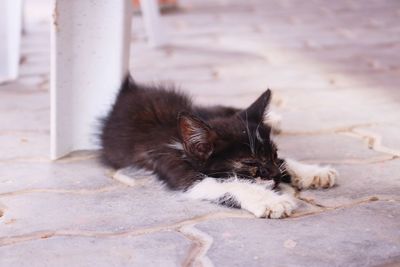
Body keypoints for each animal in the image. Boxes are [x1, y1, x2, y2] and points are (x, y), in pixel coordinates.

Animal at [101, 76, 338, 220]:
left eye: (274, 154)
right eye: (251, 162)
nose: (275, 176)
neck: (179, 141)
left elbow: (284, 163)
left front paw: (312, 172)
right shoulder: (179, 169)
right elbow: (230, 183)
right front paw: (270, 200)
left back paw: (275, 120)